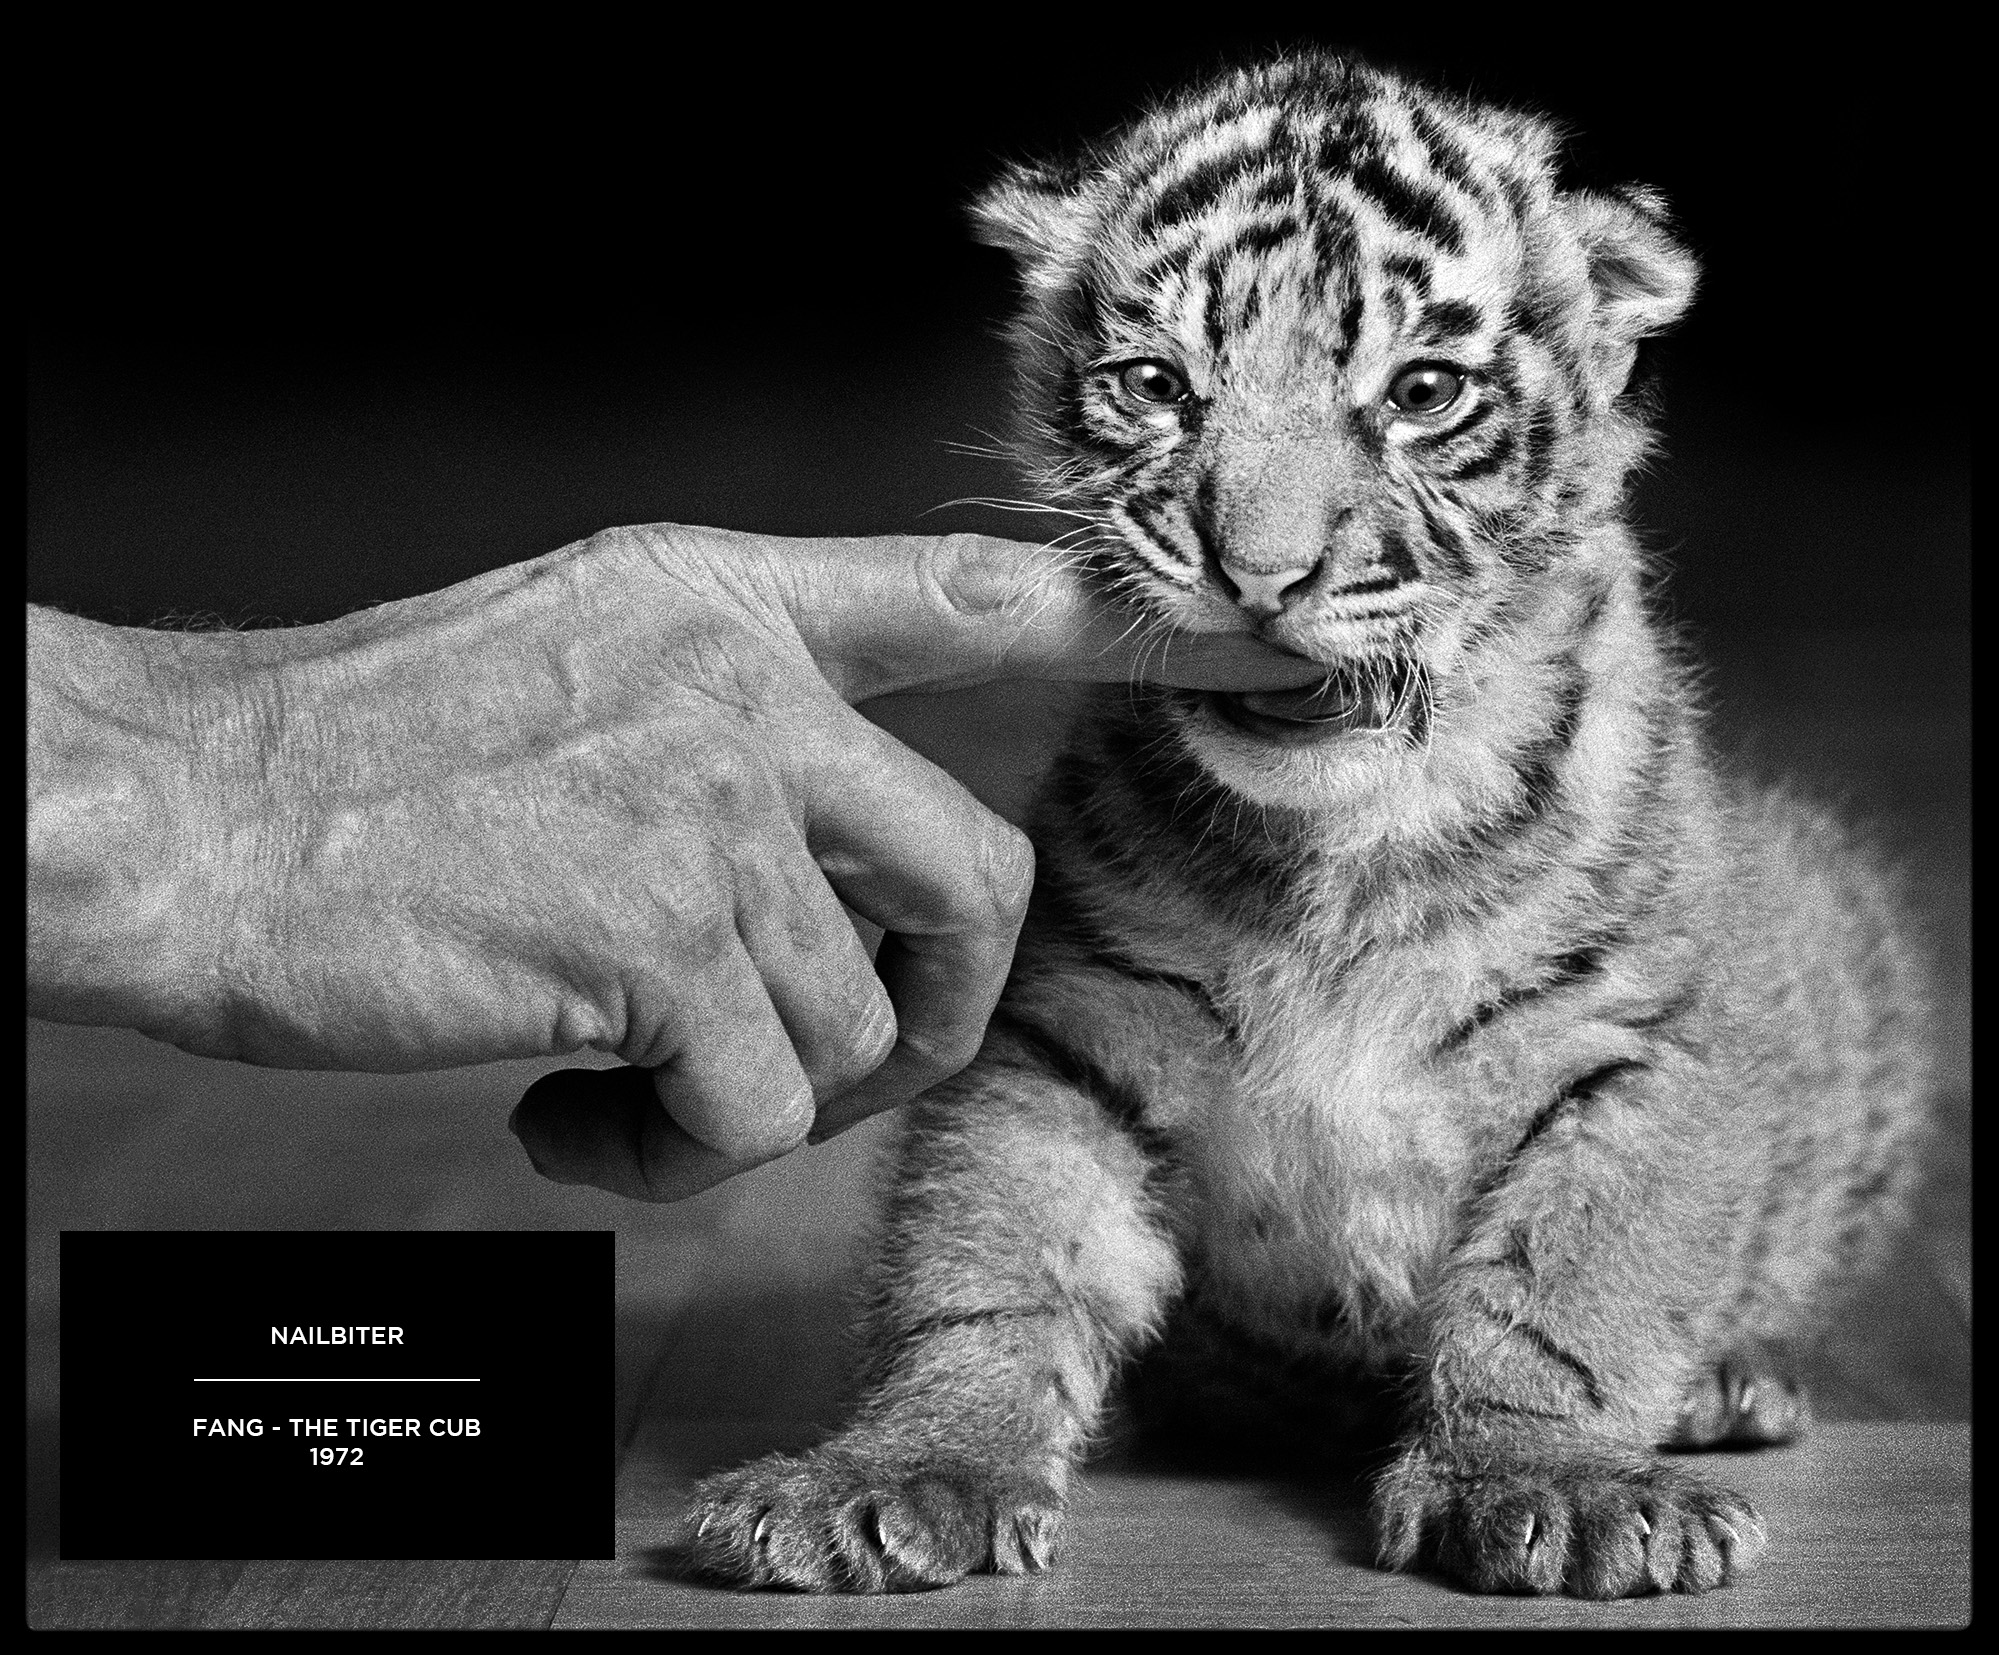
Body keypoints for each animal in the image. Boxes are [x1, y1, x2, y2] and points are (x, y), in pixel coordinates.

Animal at [684, 51, 1931, 1599]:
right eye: (1157, 386)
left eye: (1421, 392)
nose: (1260, 575)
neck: (1341, 849)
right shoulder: (1065, 1033)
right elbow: (990, 1266)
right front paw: (904, 1468)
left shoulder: (1636, 1044)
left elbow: (1570, 1285)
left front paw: (1552, 1482)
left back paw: (1726, 1381)